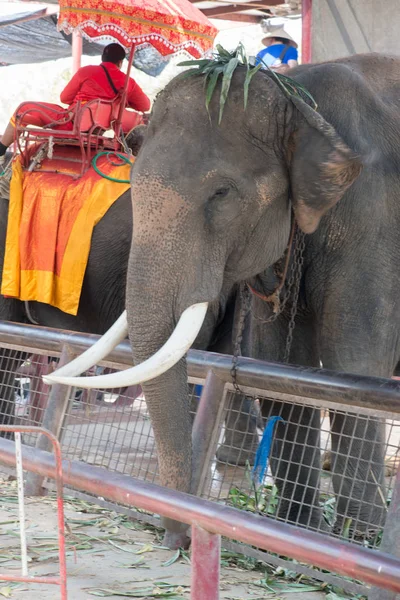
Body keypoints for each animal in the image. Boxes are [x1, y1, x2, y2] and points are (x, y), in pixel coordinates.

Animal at [45, 51, 400, 548]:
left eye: (222, 193)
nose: (179, 538)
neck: (295, 96)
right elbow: (281, 365)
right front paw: (292, 530)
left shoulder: (376, 217)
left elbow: (355, 360)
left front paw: (357, 538)